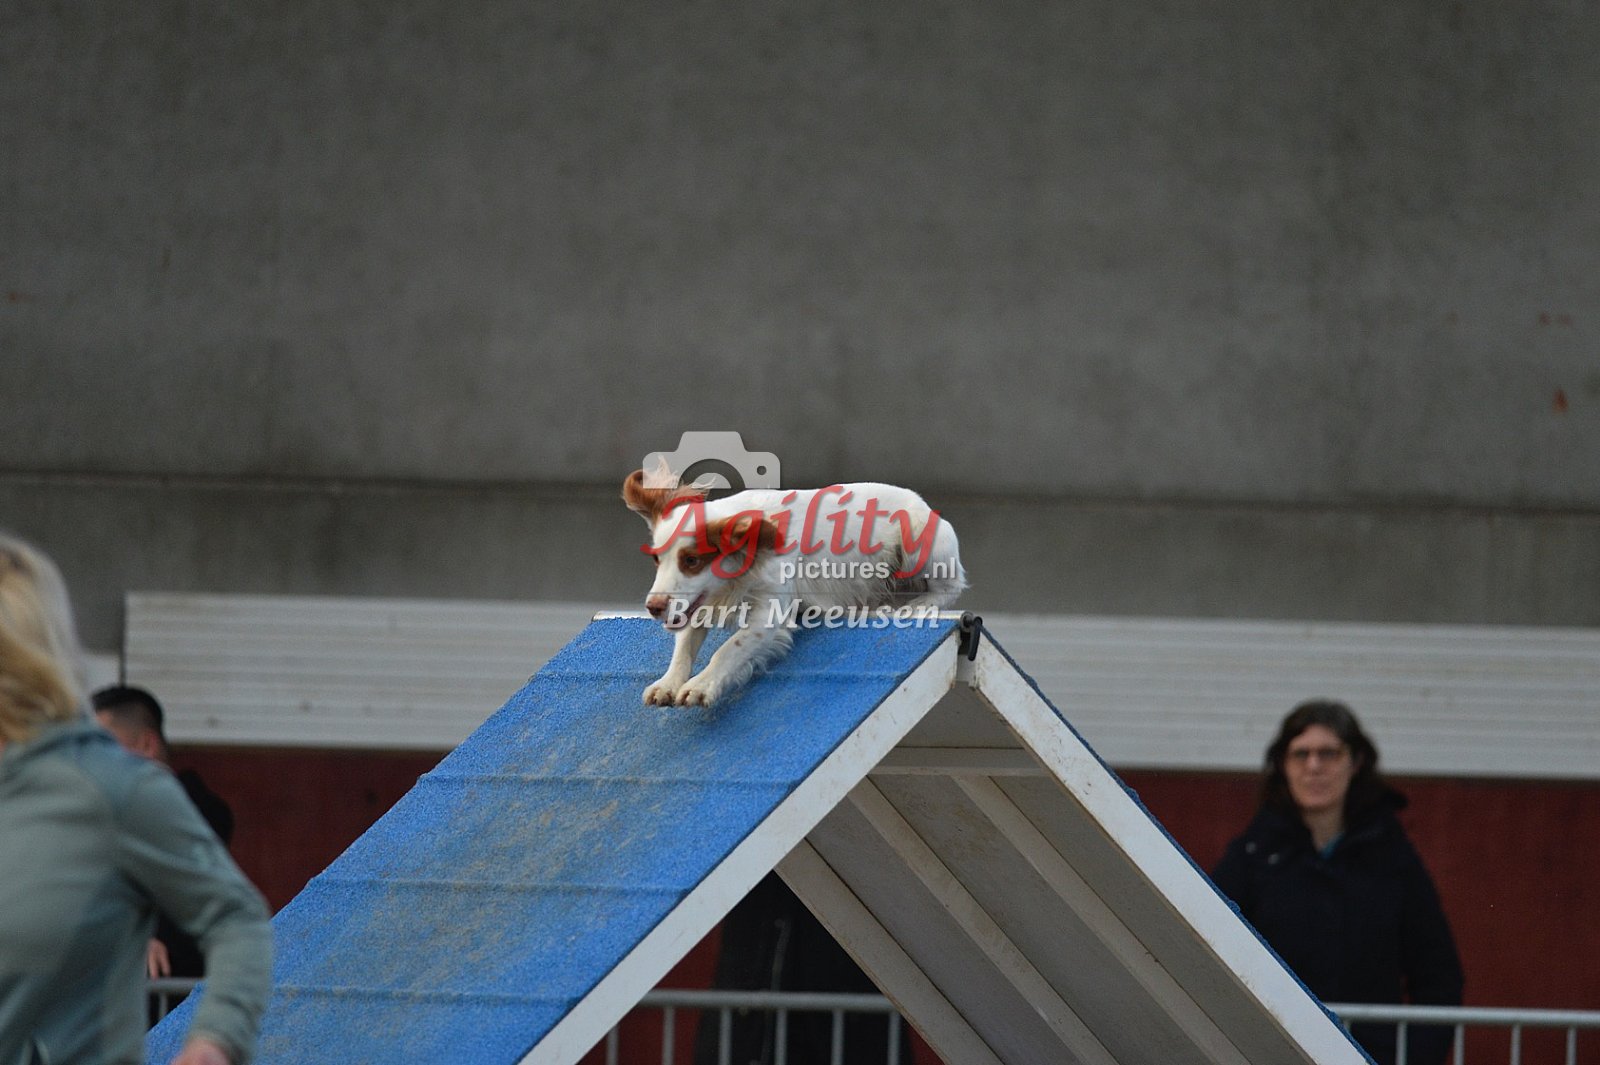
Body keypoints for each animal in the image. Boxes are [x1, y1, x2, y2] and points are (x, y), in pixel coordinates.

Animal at [622, 469, 966, 707]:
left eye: (692, 560)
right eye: (656, 559)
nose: (653, 607)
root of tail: (921, 500)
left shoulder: (769, 614)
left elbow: (728, 648)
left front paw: (701, 686)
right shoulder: (698, 605)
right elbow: (683, 646)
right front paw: (668, 683)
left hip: (920, 541)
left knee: (950, 587)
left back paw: (916, 605)